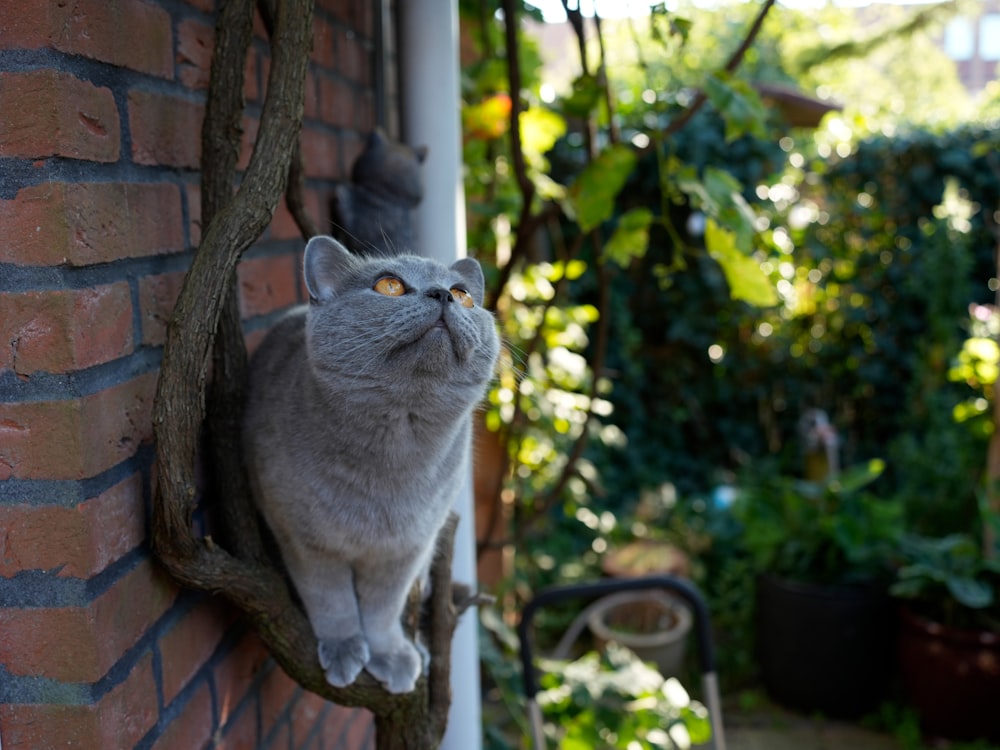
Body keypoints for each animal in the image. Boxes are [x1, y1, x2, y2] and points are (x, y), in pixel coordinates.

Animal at [243, 235, 500, 692]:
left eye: (464, 294)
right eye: (389, 286)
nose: (443, 294)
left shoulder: (407, 549)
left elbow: (382, 610)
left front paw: (394, 657)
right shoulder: (304, 540)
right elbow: (333, 601)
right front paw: (344, 650)